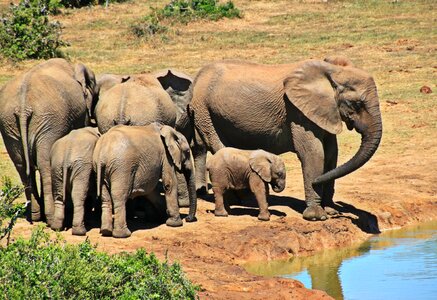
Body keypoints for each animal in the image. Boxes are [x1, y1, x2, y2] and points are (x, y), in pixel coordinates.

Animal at [0, 58, 98, 224]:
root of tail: (23, 107)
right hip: (49, 120)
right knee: (45, 163)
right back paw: (51, 219)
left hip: (10, 124)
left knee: (22, 165)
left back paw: (34, 216)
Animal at [187, 56, 382, 220]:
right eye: (356, 104)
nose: (316, 181)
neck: (331, 71)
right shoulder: (298, 112)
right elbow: (313, 154)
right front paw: (316, 217)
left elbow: (331, 154)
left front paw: (331, 211)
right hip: (204, 111)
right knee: (219, 145)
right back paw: (240, 199)